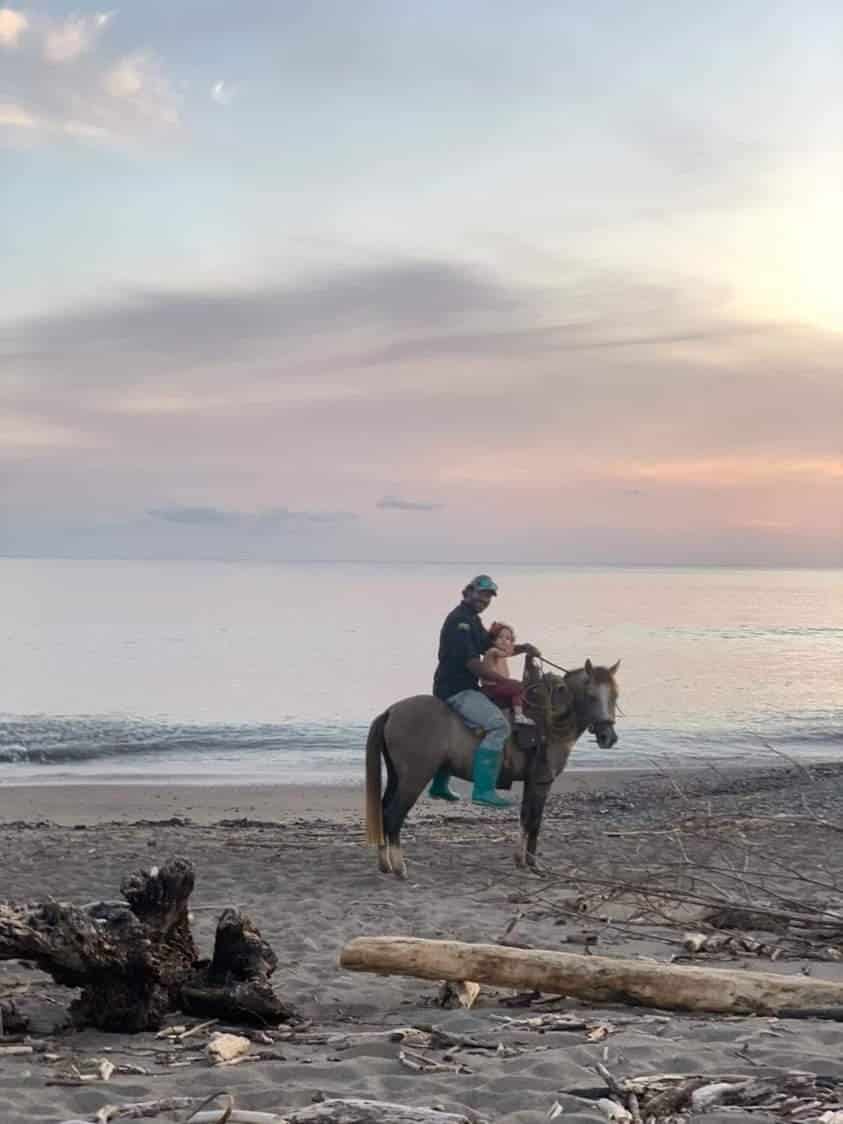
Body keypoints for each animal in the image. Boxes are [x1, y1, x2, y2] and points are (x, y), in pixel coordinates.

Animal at [365, 658, 620, 878]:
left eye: (615, 696)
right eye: (591, 696)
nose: (608, 737)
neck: (550, 720)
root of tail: (391, 711)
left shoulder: (530, 782)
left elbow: (525, 818)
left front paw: (520, 861)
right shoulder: (542, 782)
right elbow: (535, 821)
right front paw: (533, 864)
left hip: (397, 777)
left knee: (383, 812)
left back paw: (385, 864)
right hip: (413, 779)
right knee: (393, 816)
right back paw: (400, 868)